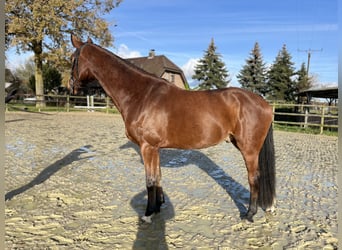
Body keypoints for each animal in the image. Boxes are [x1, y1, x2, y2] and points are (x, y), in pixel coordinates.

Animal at [69, 33, 276, 223]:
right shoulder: (155, 148)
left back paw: (249, 214)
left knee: (254, 178)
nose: (71, 86)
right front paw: (158, 207)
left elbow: (150, 181)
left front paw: (147, 214)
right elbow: (158, 177)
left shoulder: (147, 147)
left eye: (72, 59)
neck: (141, 95)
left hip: (249, 149)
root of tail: (264, 103)